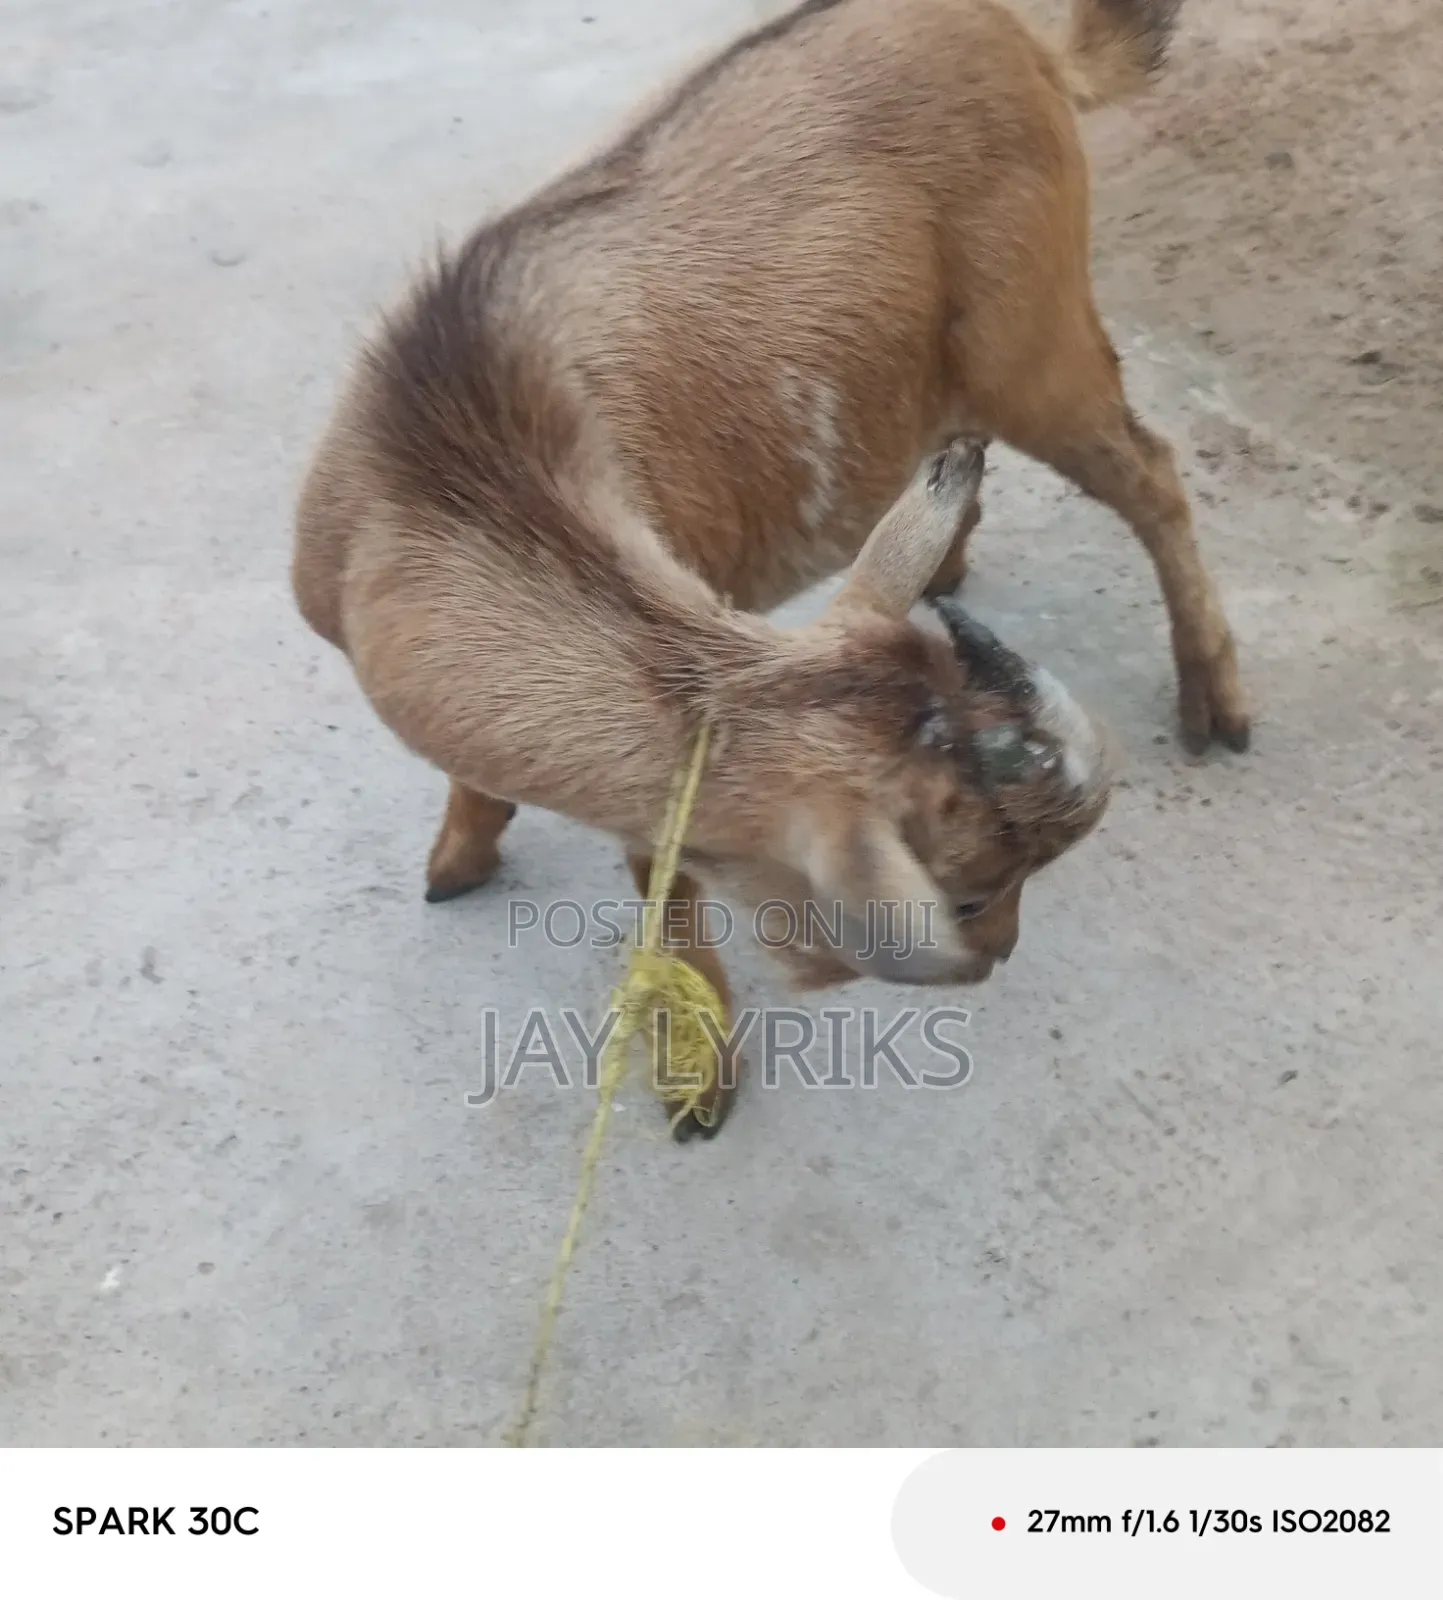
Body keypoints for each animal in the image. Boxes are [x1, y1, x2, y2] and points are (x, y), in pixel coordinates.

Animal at [294, 0, 1244, 1134]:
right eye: (970, 891)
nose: (1000, 953)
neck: (446, 455)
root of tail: (1025, 39)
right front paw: (460, 859)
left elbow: (657, 869)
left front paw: (694, 1073)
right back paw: (951, 562)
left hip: (1036, 329)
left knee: (1150, 470)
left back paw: (1217, 703)